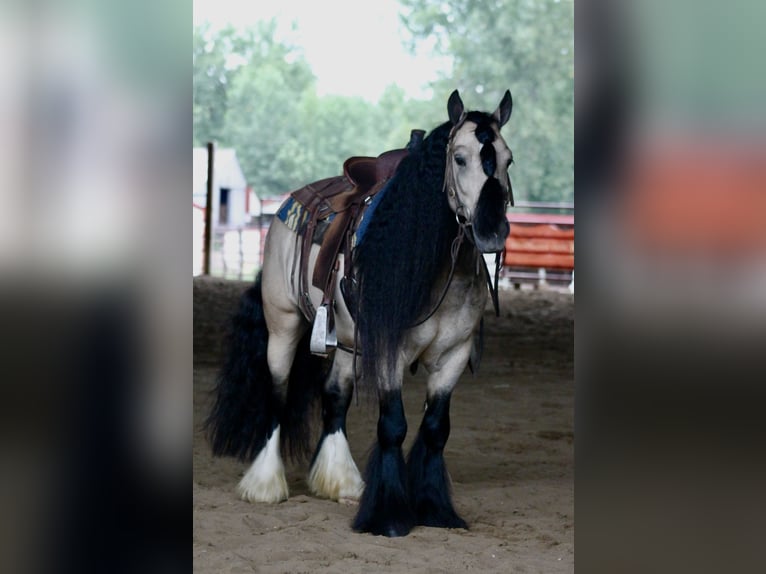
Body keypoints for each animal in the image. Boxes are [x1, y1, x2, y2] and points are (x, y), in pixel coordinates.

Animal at [207, 90, 512, 540]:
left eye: (508, 159)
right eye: (459, 158)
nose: (492, 230)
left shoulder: (453, 356)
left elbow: (435, 429)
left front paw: (436, 509)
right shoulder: (388, 353)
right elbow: (394, 426)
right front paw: (387, 517)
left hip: (348, 345)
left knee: (335, 396)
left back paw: (340, 481)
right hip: (283, 326)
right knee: (277, 395)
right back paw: (265, 485)